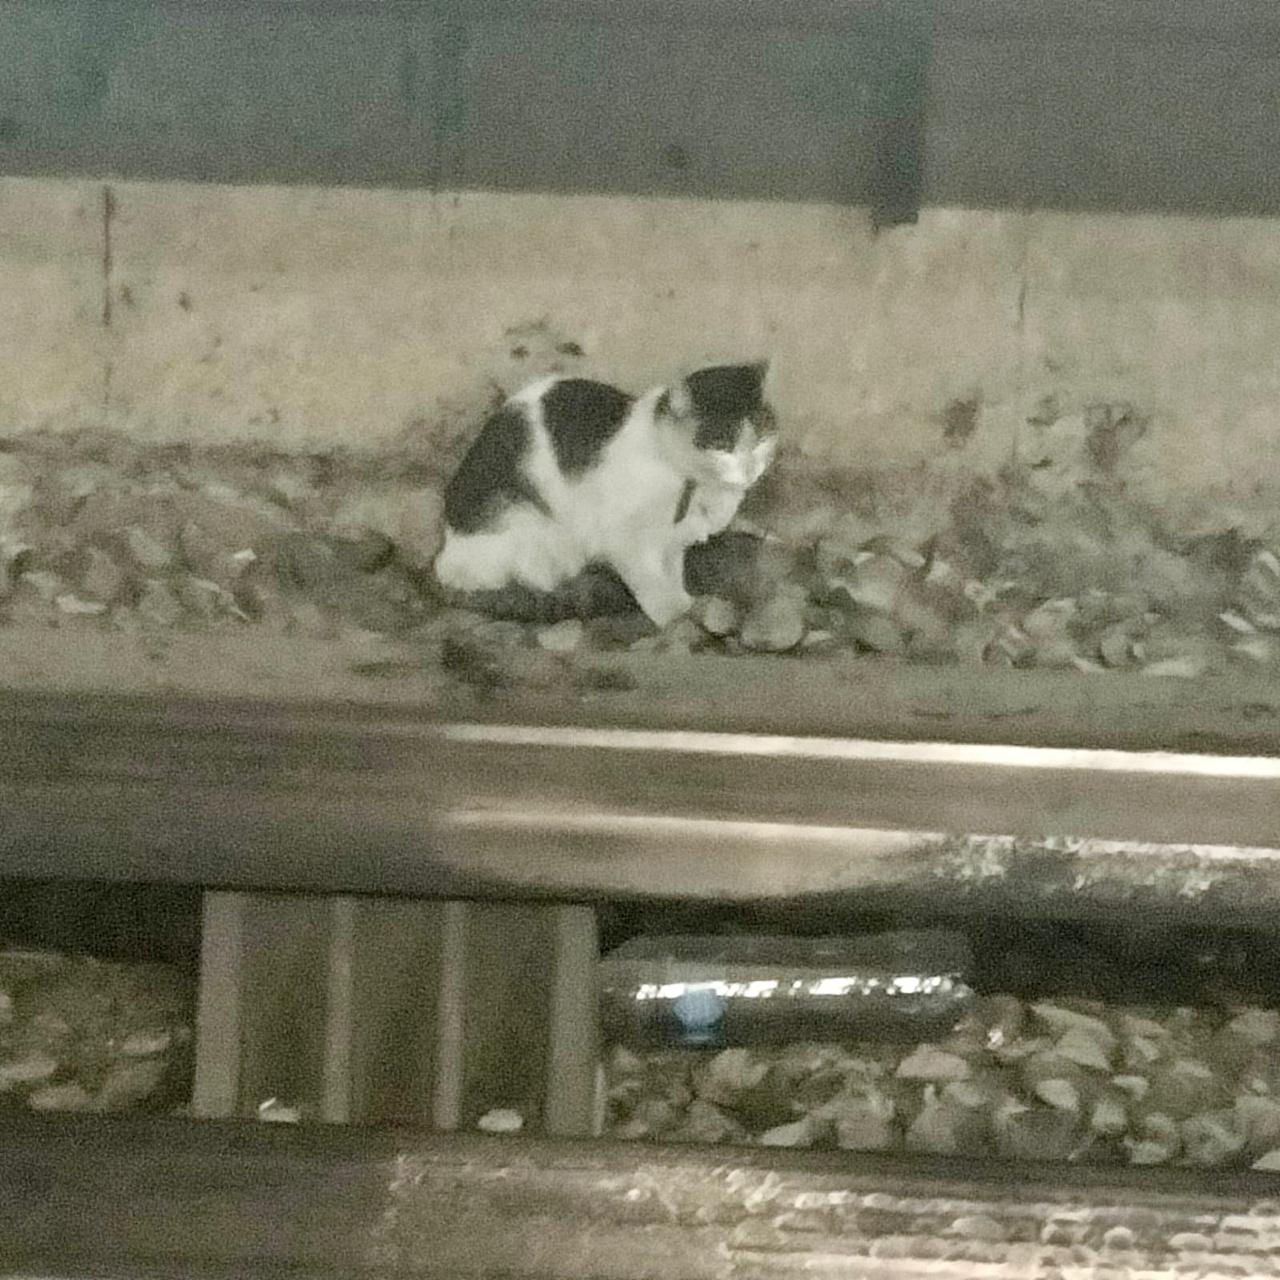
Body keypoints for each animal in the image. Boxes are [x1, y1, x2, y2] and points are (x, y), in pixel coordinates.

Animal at [435, 363, 773, 627]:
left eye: (761, 441)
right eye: (722, 446)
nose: (749, 469)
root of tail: (443, 558)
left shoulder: (673, 542)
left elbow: (672, 573)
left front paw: (684, 601)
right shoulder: (623, 538)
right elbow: (651, 584)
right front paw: (673, 614)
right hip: (524, 524)